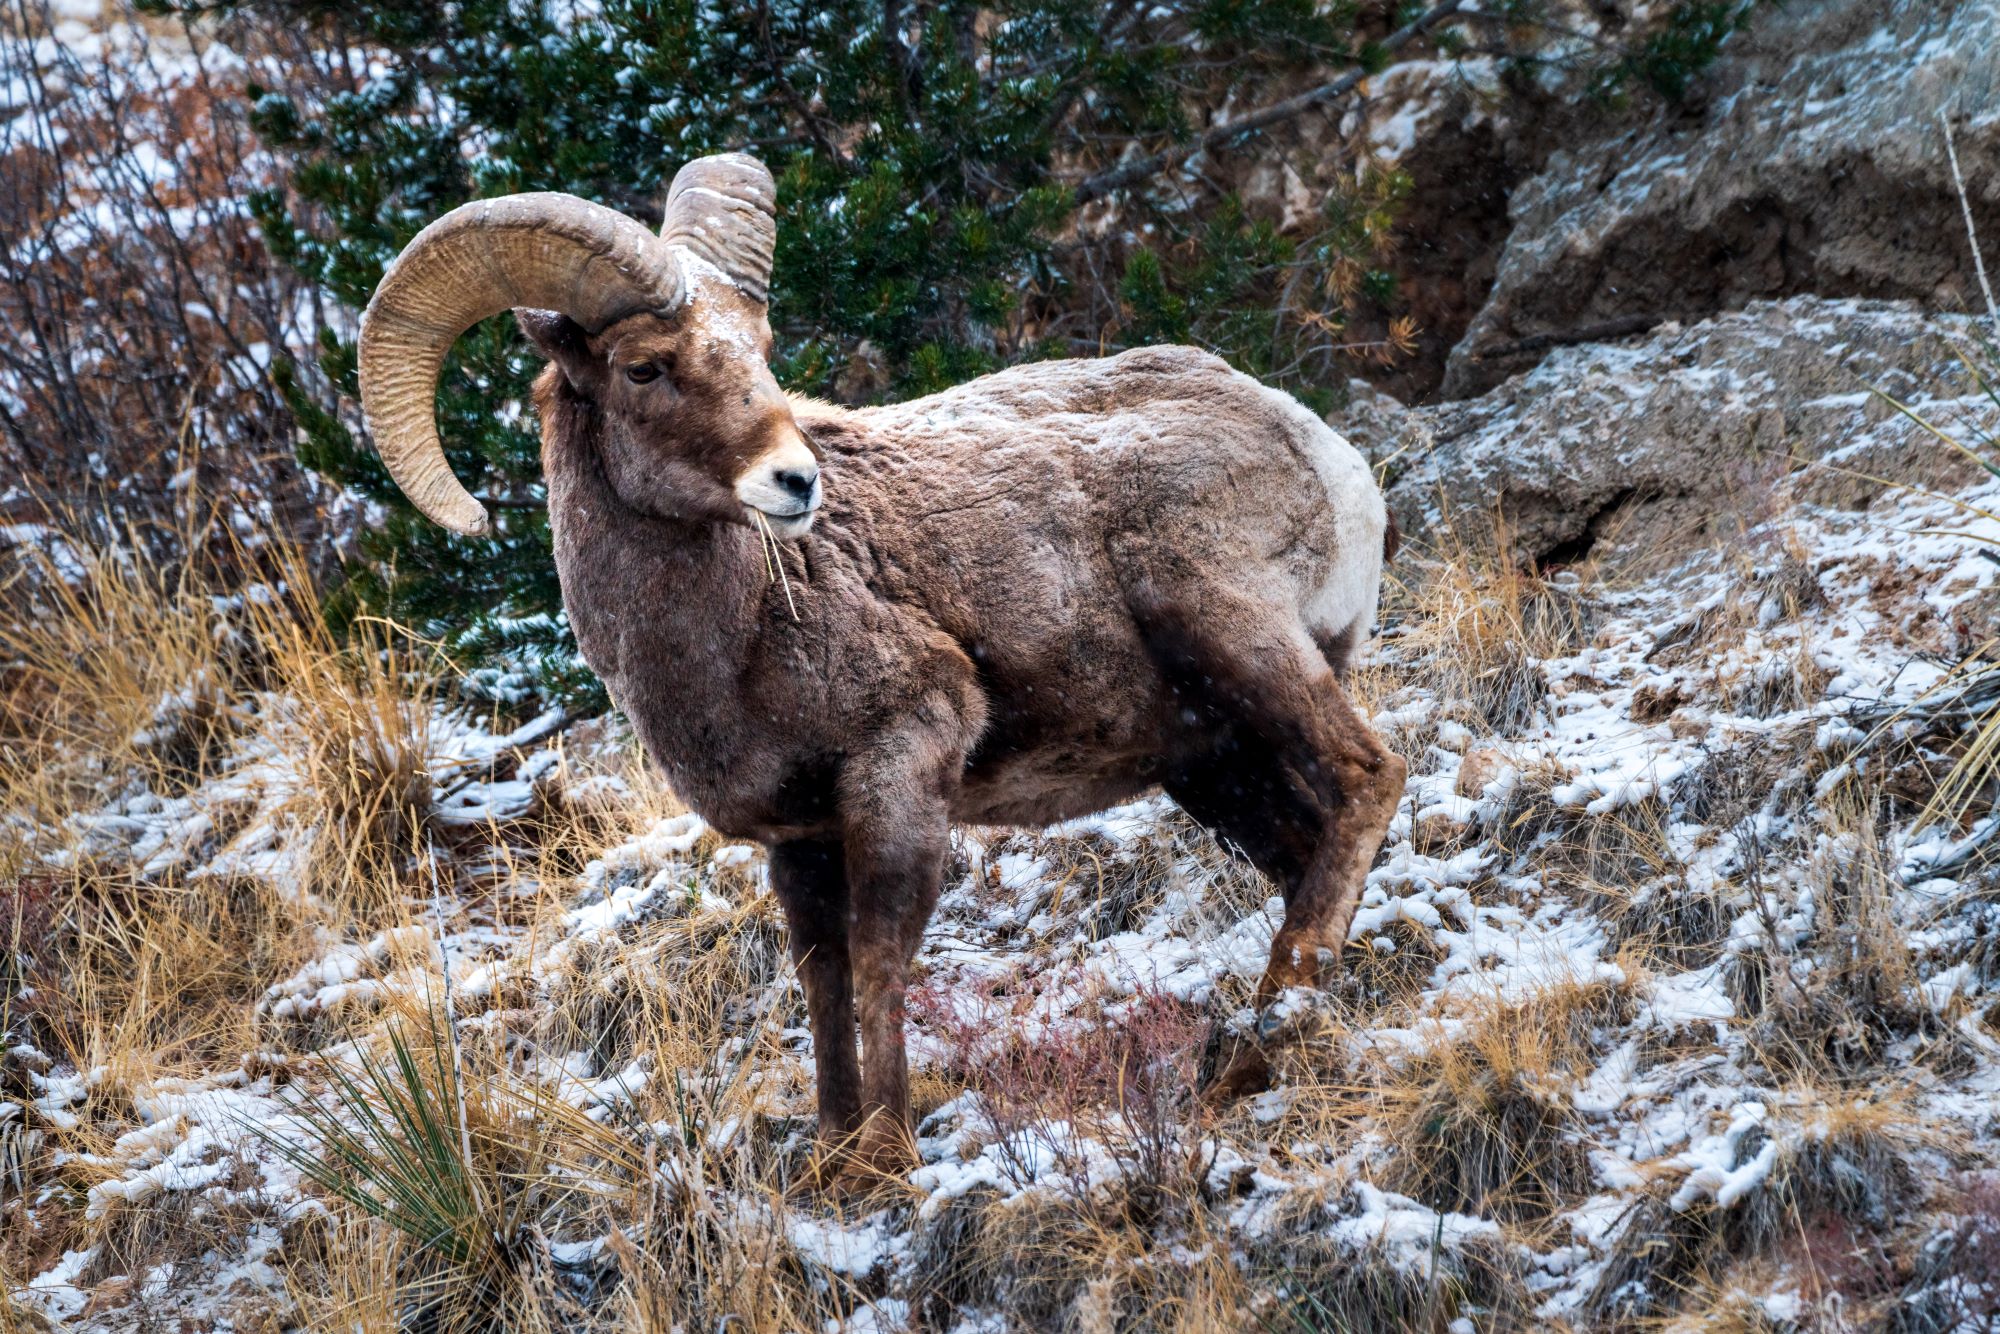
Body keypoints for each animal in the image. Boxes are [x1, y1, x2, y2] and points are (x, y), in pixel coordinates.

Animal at [360, 154, 1408, 1168]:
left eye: (760, 350)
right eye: (645, 368)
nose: (796, 482)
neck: (742, 628)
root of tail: (1326, 453)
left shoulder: (901, 763)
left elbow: (880, 957)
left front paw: (889, 1154)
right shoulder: (799, 840)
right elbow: (821, 982)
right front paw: (834, 1156)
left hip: (1227, 628)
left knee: (1369, 774)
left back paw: (1262, 1044)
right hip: (1212, 762)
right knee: (1304, 847)